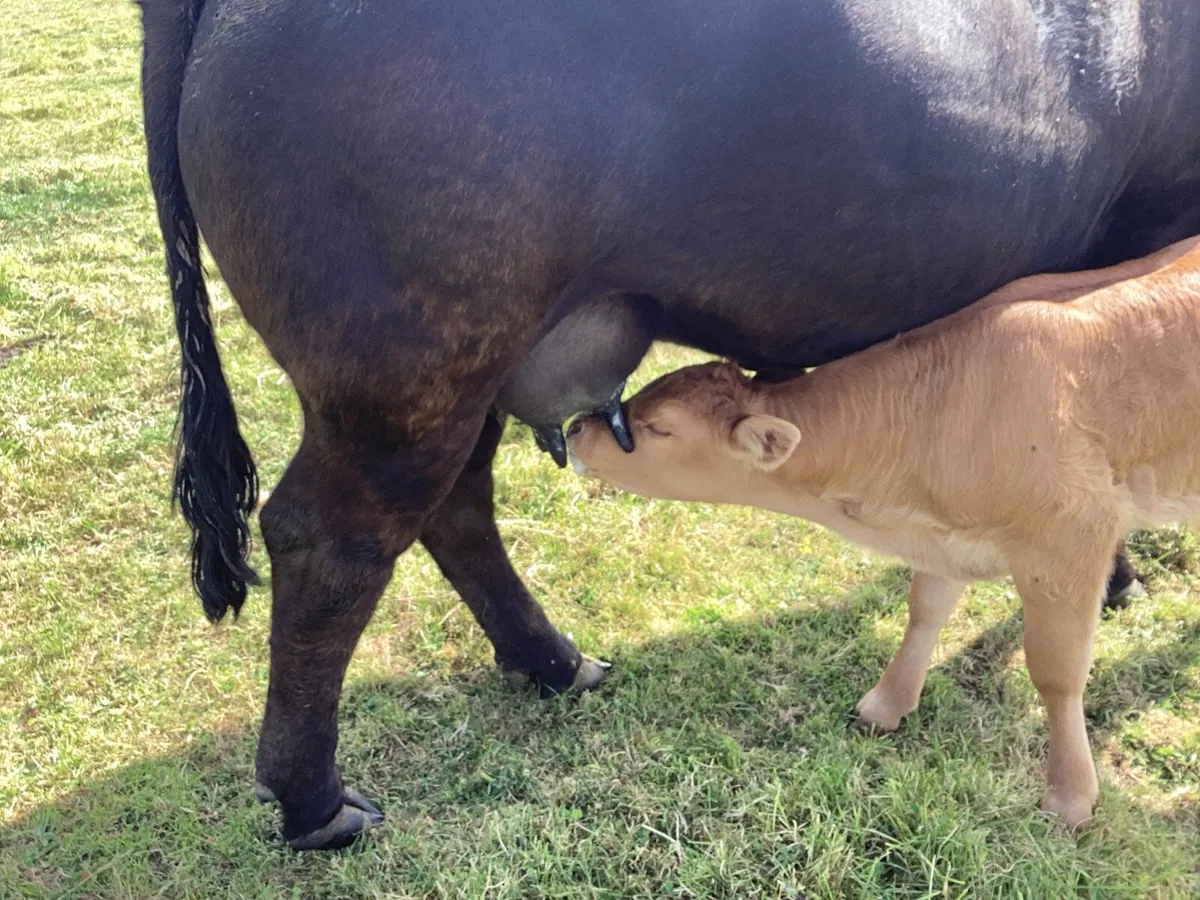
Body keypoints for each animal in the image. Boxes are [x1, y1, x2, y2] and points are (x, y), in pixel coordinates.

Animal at [567, 235, 1200, 830]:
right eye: (645, 393)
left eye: (661, 429)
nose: (574, 429)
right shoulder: (946, 539)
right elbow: (925, 610)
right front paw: (886, 705)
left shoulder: (1074, 534)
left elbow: (1057, 671)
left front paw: (1070, 797)